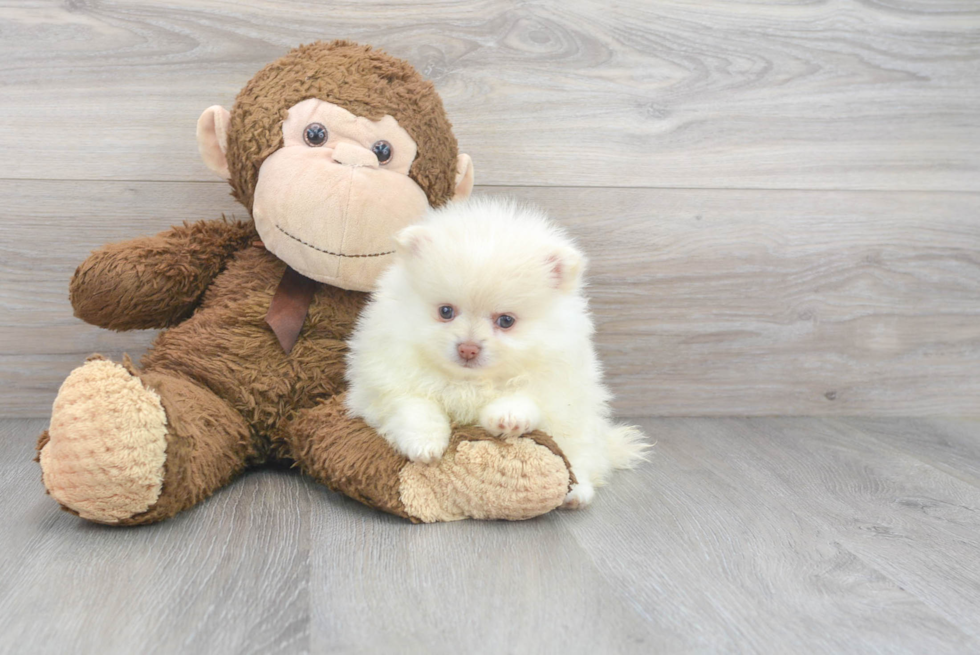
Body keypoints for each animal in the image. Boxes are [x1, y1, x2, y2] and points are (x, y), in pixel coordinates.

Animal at [340, 196, 648, 508]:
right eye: (446, 311)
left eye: (506, 321)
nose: (468, 348)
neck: (469, 383)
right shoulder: (386, 381)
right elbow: (416, 407)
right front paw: (425, 444)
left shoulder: (555, 382)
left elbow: (526, 395)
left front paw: (509, 418)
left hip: (581, 426)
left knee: (582, 458)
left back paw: (576, 493)